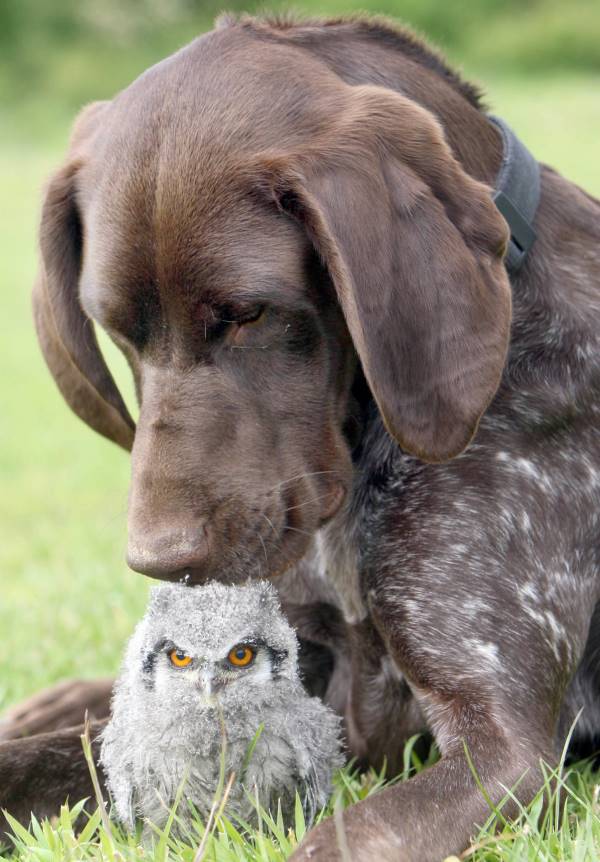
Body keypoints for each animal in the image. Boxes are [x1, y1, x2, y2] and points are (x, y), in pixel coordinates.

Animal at [1, 15, 600, 862]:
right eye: (117, 327)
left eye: (248, 314)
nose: (158, 560)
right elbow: (54, 755)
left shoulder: (506, 749)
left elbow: (336, 837)